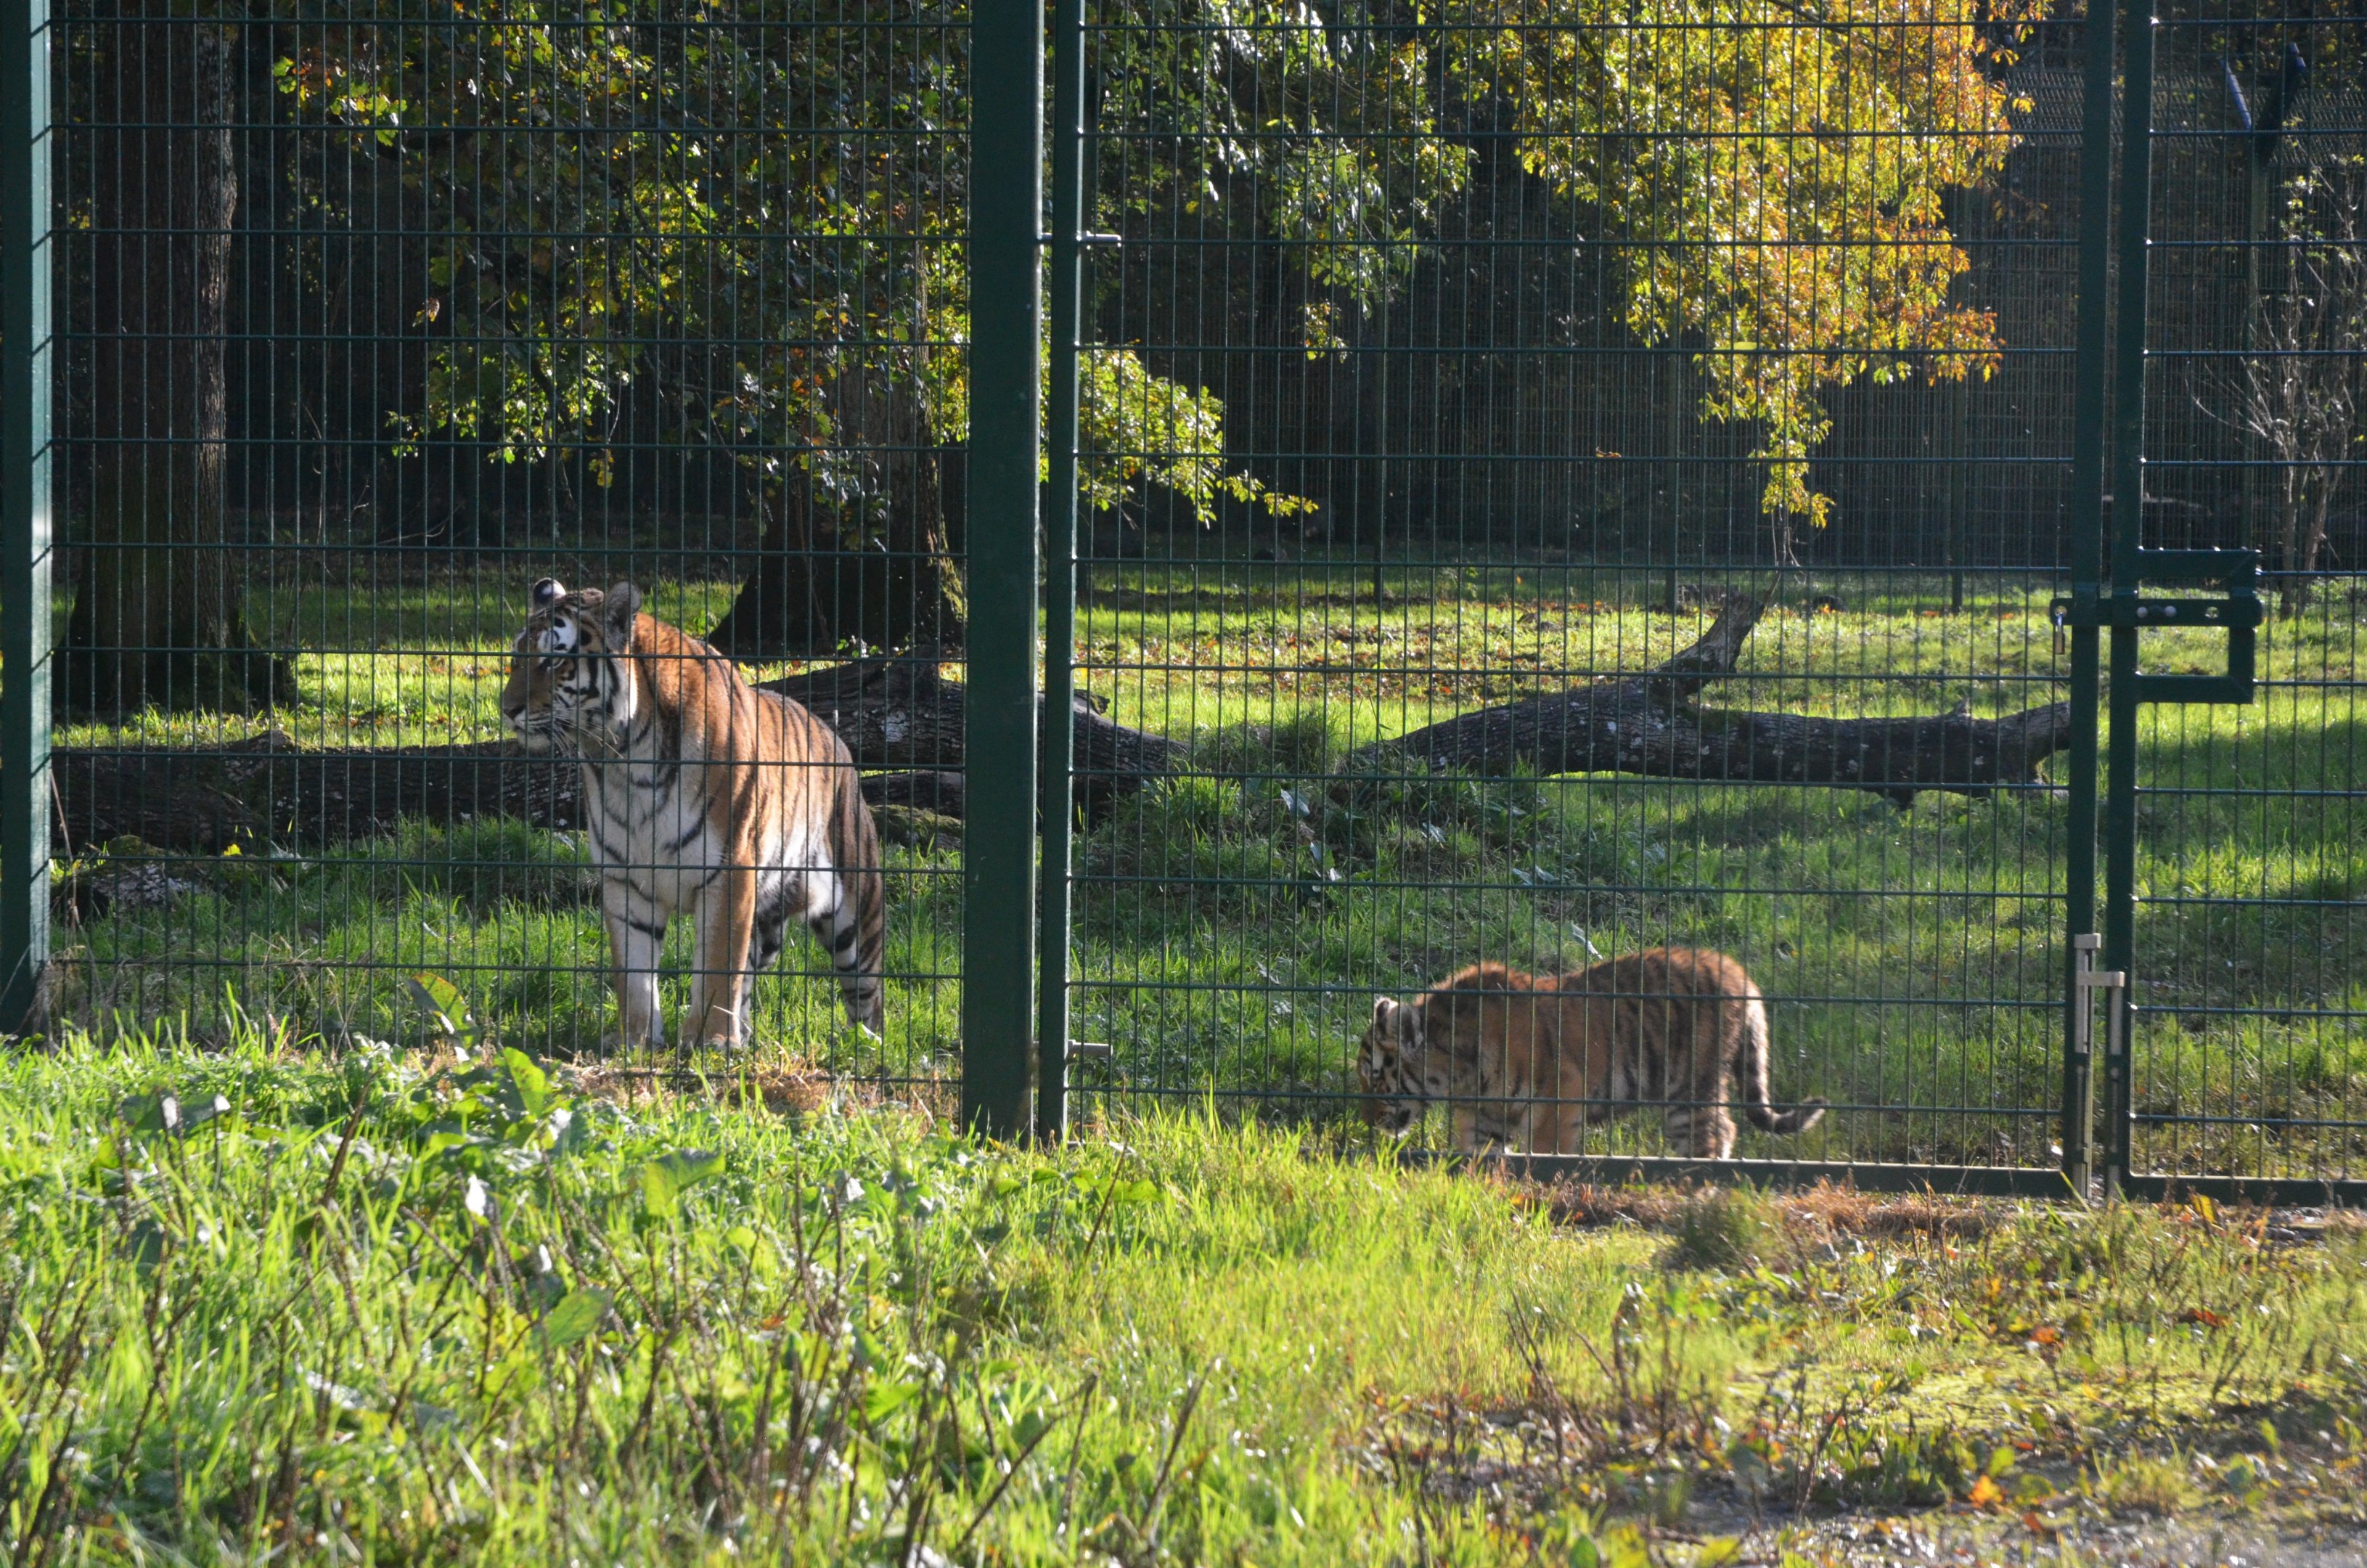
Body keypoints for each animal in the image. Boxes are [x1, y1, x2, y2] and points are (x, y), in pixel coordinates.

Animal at [501, 577, 885, 1049]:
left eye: (555, 660)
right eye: (516, 657)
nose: (507, 709)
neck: (625, 761)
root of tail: (837, 739)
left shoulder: (727, 871)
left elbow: (719, 965)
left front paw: (711, 1043)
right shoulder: (625, 878)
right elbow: (634, 972)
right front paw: (636, 1041)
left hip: (854, 914)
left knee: (867, 996)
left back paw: (864, 1049)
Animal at [1357, 948, 1825, 1159]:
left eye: (1377, 1075)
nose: (1369, 1120)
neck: (1462, 1073)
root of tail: (1737, 971)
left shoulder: (1555, 1101)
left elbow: (1546, 1156)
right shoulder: (1485, 1118)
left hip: (1689, 1089)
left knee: (1716, 1133)